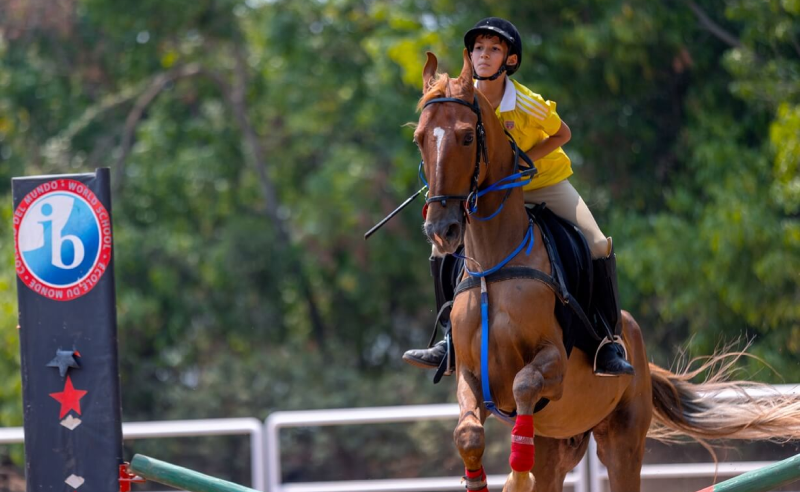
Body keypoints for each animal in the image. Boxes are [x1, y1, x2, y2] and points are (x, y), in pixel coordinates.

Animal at [414, 49, 800, 492]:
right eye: (420, 138)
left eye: (465, 137)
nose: (441, 230)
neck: (494, 267)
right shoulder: (471, 373)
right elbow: (467, 432)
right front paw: (482, 479)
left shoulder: (554, 365)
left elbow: (525, 382)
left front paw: (515, 475)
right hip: (559, 442)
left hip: (623, 438)